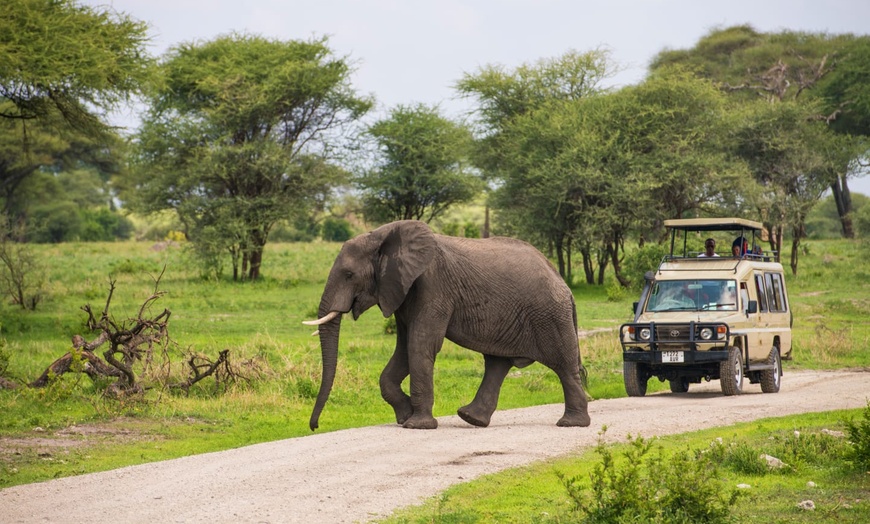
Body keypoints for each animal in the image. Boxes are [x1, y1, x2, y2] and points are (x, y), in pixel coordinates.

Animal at [302, 220, 592, 430]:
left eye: (349, 275)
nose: (314, 426)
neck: (381, 236)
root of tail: (564, 285)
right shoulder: (403, 291)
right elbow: (404, 350)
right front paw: (404, 417)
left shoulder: (433, 286)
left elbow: (420, 345)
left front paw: (416, 426)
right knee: (497, 364)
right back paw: (471, 419)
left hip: (550, 316)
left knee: (563, 366)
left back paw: (571, 424)